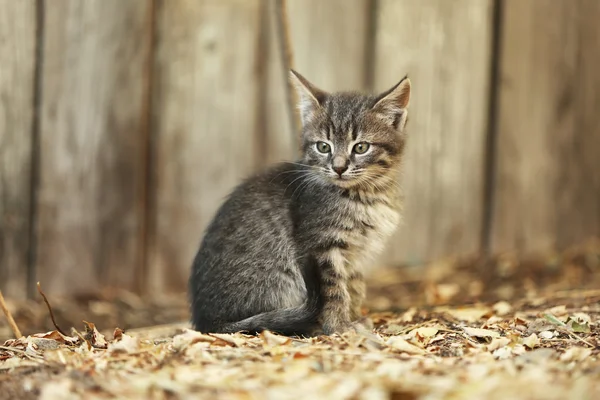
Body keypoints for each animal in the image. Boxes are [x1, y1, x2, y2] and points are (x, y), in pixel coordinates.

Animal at [190, 70, 410, 336]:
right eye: (323, 147)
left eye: (361, 147)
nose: (338, 167)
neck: (367, 194)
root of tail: (207, 321)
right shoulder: (321, 246)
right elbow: (334, 290)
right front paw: (338, 326)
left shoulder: (356, 253)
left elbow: (355, 286)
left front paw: (354, 317)